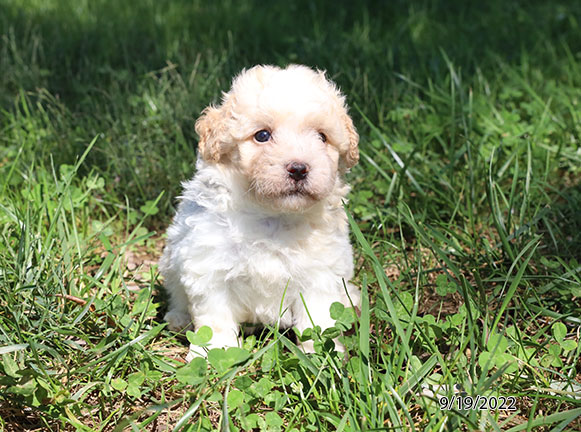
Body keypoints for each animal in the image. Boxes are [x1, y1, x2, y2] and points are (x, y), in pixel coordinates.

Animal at [159, 64, 358, 360]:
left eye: (322, 137)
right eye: (262, 135)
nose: (299, 168)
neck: (272, 216)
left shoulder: (320, 274)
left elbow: (319, 319)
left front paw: (321, 355)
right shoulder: (209, 268)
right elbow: (215, 319)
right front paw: (213, 352)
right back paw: (179, 319)